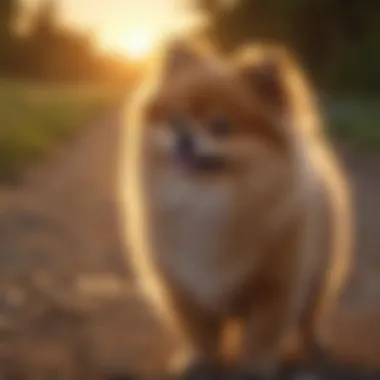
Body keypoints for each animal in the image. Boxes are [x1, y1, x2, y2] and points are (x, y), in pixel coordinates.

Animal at [119, 40, 354, 378]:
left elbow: (259, 339)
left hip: (319, 273)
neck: (208, 203)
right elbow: (199, 334)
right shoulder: (184, 287)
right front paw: (199, 362)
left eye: (221, 126)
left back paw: (314, 345)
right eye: (175, 121)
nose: (184, 137)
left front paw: (254, 368)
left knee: (309, 317)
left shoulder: (274, 289)